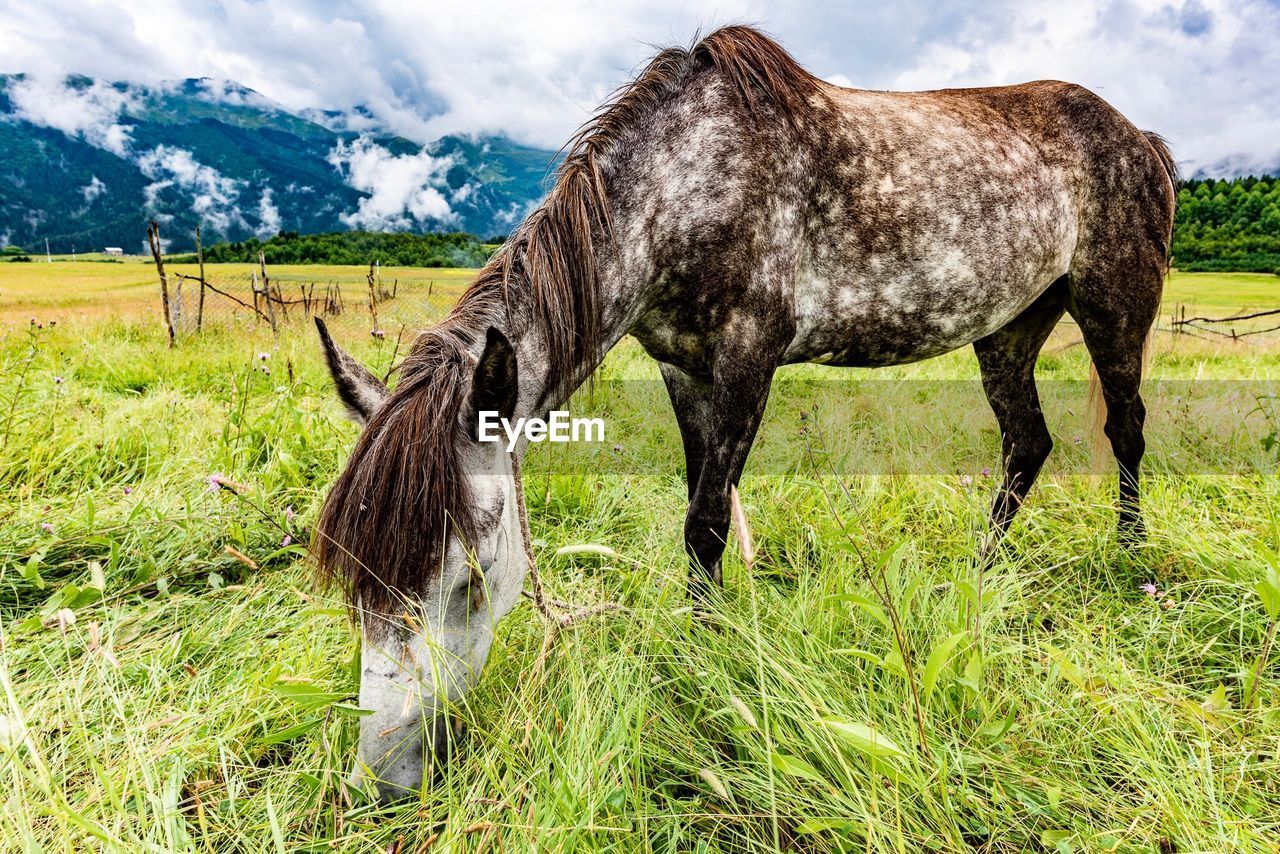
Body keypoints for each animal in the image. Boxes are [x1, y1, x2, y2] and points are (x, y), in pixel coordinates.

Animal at [314, 26, 1172, 804]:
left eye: (468, 581)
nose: (382, 782)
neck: (681, 186)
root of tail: (1143, 139)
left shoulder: (747, 359)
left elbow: (707, 523)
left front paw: (704, 663)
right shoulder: (682, 368)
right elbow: (701, 513)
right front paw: (707, 641)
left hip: (1113, 306)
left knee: (1125, 428)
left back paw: (1130, 559)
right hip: (1011, 326)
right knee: (1026, 442)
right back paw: (978, 573)